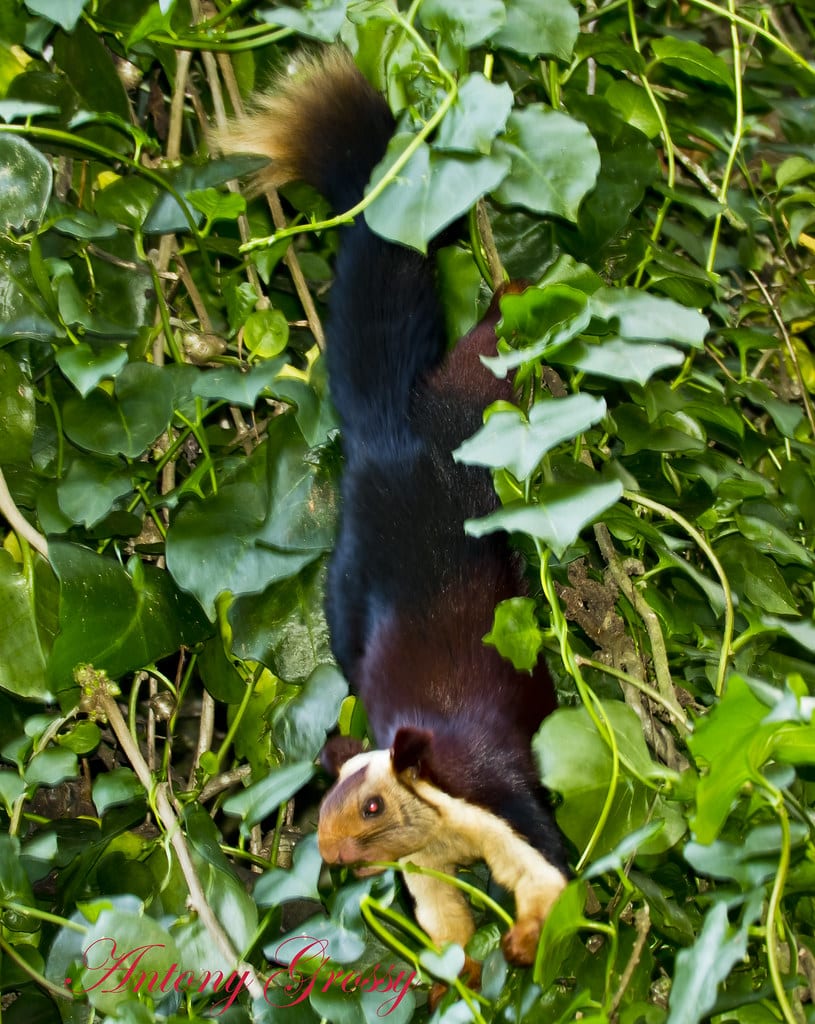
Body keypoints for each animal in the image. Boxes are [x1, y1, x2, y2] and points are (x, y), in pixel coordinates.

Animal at [221, 46, 565, 974]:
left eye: (372, 805)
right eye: (327, 796)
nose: (330, 853)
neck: (443, 830)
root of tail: (386, 445)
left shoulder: (499, 794)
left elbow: (552, 880)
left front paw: (526, 941)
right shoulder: (430, 874)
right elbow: (443, 927)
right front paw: (454, 974)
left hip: (472, 419)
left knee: (483, 360)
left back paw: (515, 294)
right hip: (347, 594)